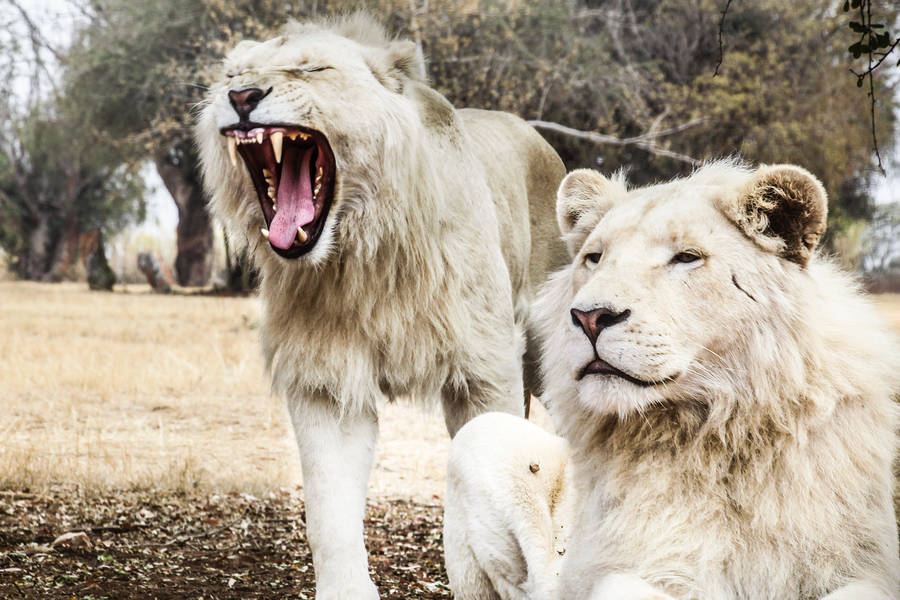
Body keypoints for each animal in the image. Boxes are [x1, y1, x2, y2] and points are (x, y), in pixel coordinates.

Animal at [194, 13, 567, 599]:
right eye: (232, 74)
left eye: (313, 69)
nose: (241, 96)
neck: (362, 257)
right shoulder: (325, 381)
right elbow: (329, 515)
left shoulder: (487, 370)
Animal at [444, 161, 900, 599]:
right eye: (595, 257)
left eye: (686, 257)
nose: (589, 317)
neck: (718, 435)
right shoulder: (630, 566)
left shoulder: (865, 564)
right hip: (483, 435)